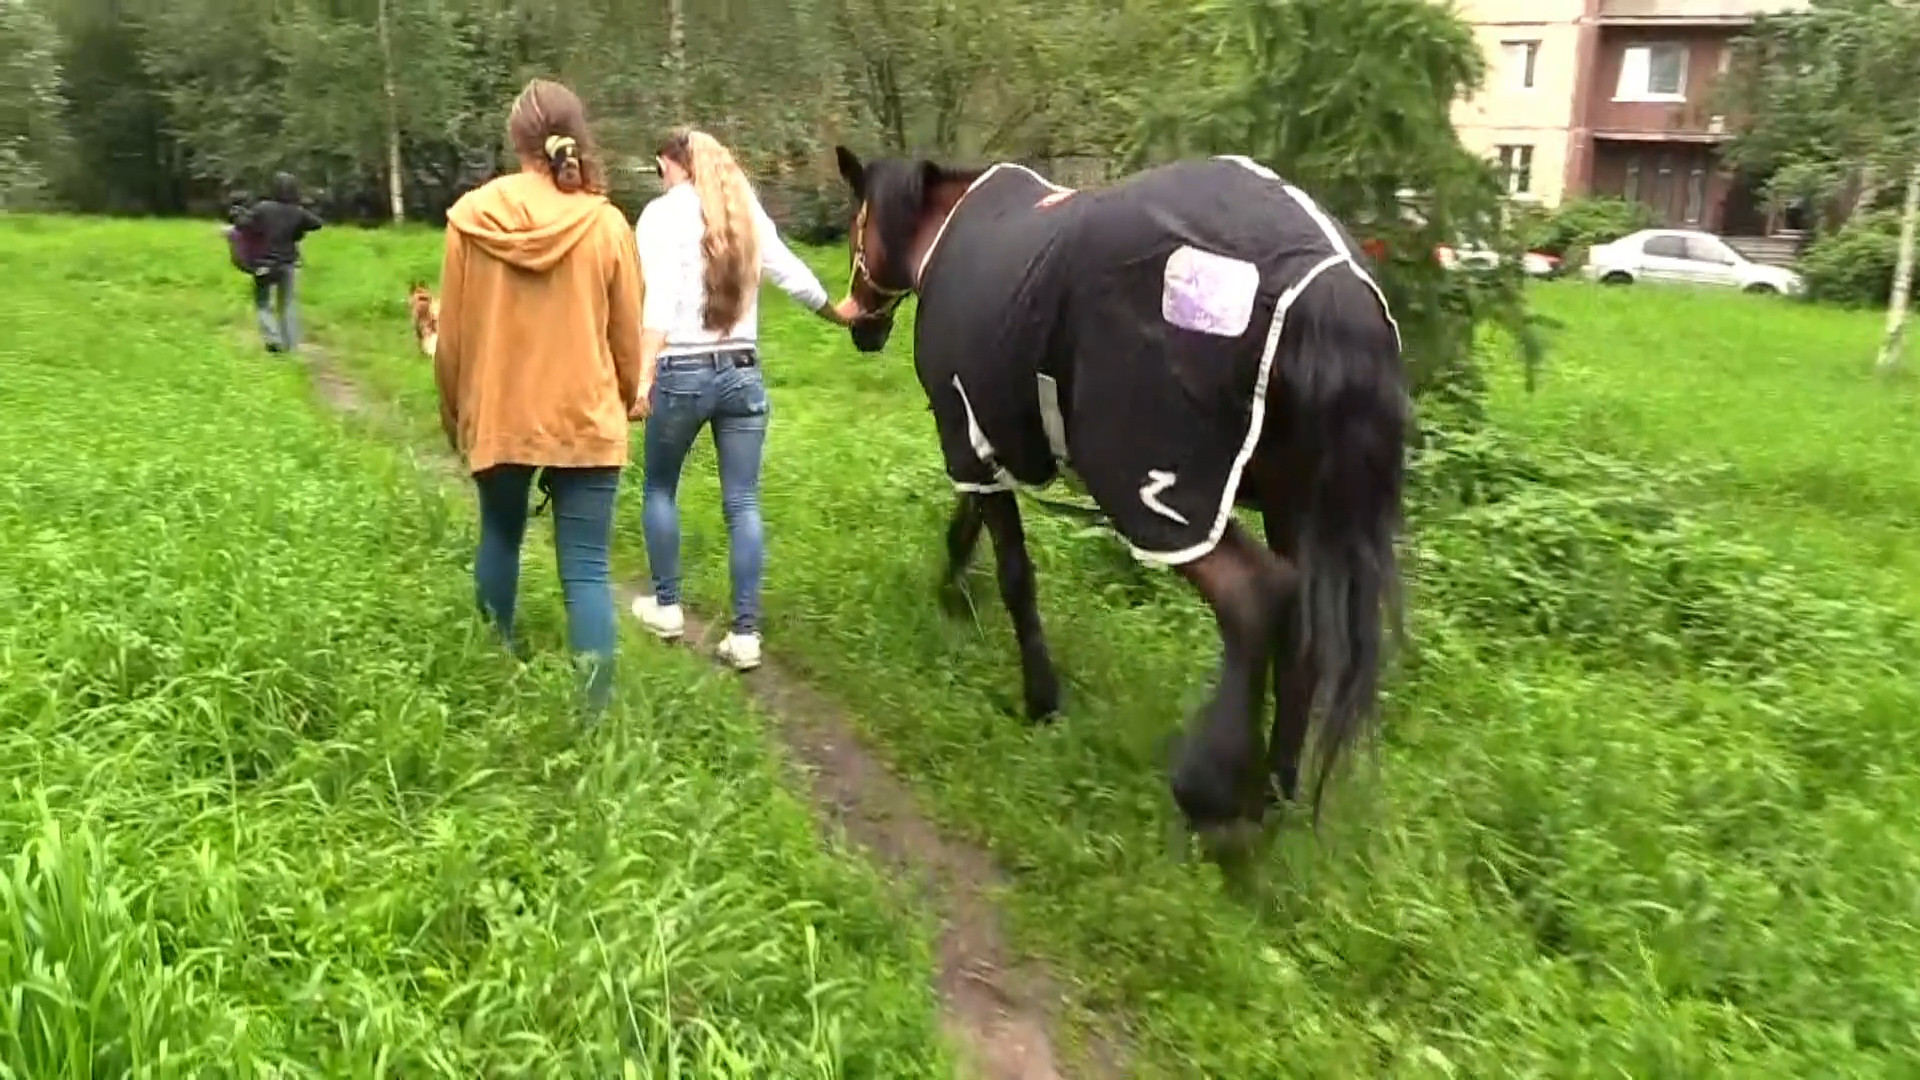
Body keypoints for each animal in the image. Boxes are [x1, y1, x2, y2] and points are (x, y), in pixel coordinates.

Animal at [829, 145, 1413, 834]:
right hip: (1293, 507)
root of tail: (1332, 285)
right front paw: (951, 598)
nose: (861, 325)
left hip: (1154, 495)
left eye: (856, 227)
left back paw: (1212, 796)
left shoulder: (967, 432)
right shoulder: (984, 443)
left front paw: (1041, 698)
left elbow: (1013, 573)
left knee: (1257, 597)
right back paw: (1274, 792)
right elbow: (964, 527)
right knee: (1306, 631)